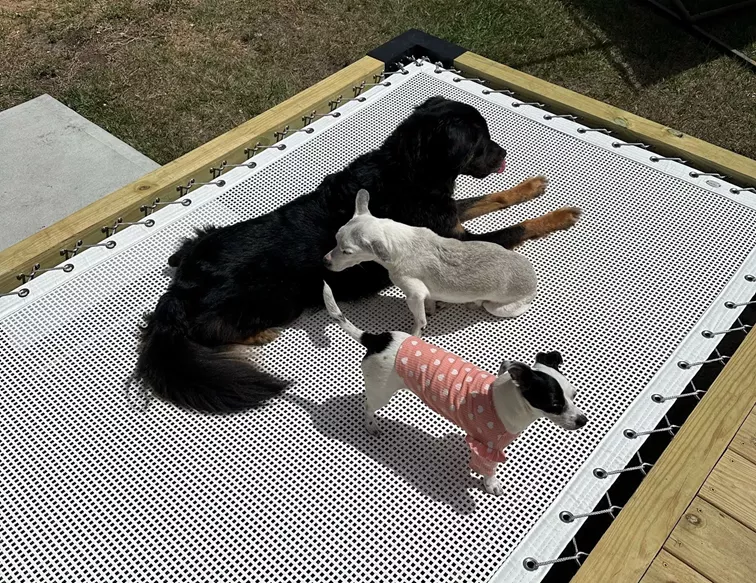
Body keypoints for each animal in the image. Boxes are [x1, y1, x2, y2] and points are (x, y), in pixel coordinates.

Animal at [322, 282, 588, 498]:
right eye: (554, 404)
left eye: (574, 395)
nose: (583, 421)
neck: (509, 403)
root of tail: (377, 339)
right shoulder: (486, 448)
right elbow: (489, 472)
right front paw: (491, 485)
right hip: (381, 392)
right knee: (368, 405)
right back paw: (371, 425)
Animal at [324, 189, 536, 336]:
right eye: (335, 239)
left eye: (347, 252)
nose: (325, 262)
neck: (398, 240)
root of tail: (534, 281)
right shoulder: (425, 293)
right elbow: (430, 302)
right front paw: (433, 308)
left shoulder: (414, 295)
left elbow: (419, 321)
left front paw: (415, 334)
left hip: (498, 308)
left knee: (484, 304)